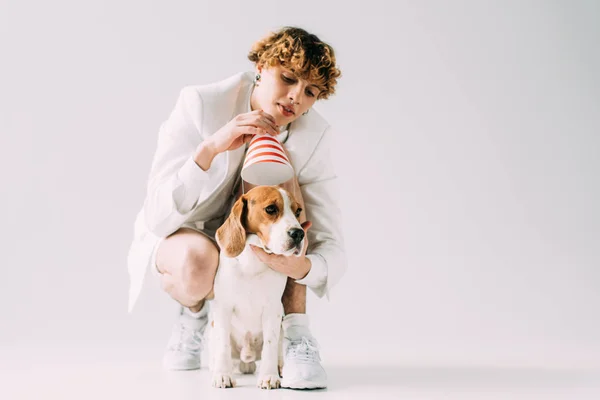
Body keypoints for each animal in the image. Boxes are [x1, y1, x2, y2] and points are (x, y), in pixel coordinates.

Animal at [209, 186, 308, 390]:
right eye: (271, 209)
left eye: (297, 211)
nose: (299, 233)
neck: (251, 264)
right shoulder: (222, 307)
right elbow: (223, 344)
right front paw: (222, 374)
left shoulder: (273, 309)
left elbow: (270, 345)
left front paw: (269, 376)